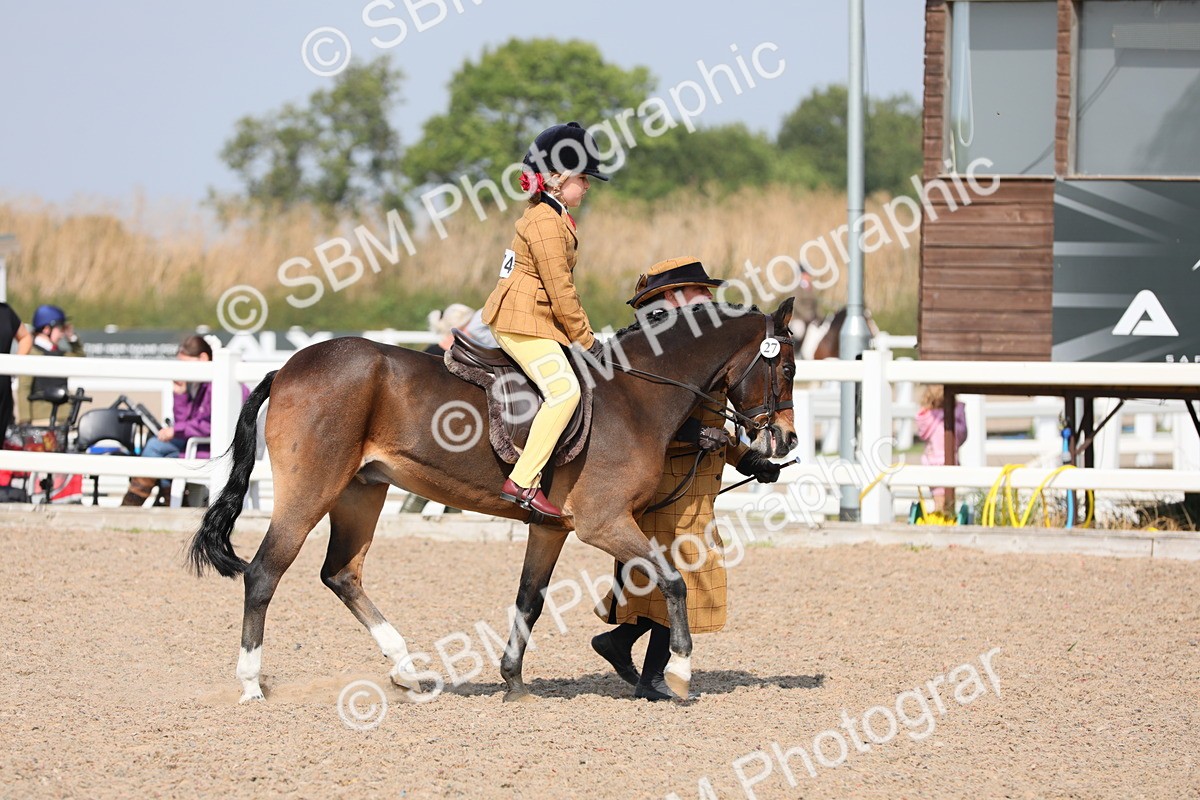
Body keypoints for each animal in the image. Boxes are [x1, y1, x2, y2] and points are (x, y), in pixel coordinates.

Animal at [189, 298, 798, 703]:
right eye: (787, 367)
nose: (786, 441)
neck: (636, 395)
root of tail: (288, 366)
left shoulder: (551, 528)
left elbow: (529, 599)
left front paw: (513, 683)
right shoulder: (603, 523)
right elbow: (671, 580)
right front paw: (679, 674)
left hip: (362, 492)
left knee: (341, 574)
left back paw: (407, 670)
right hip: (311, 490)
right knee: (264, 572)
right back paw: (251, 684)